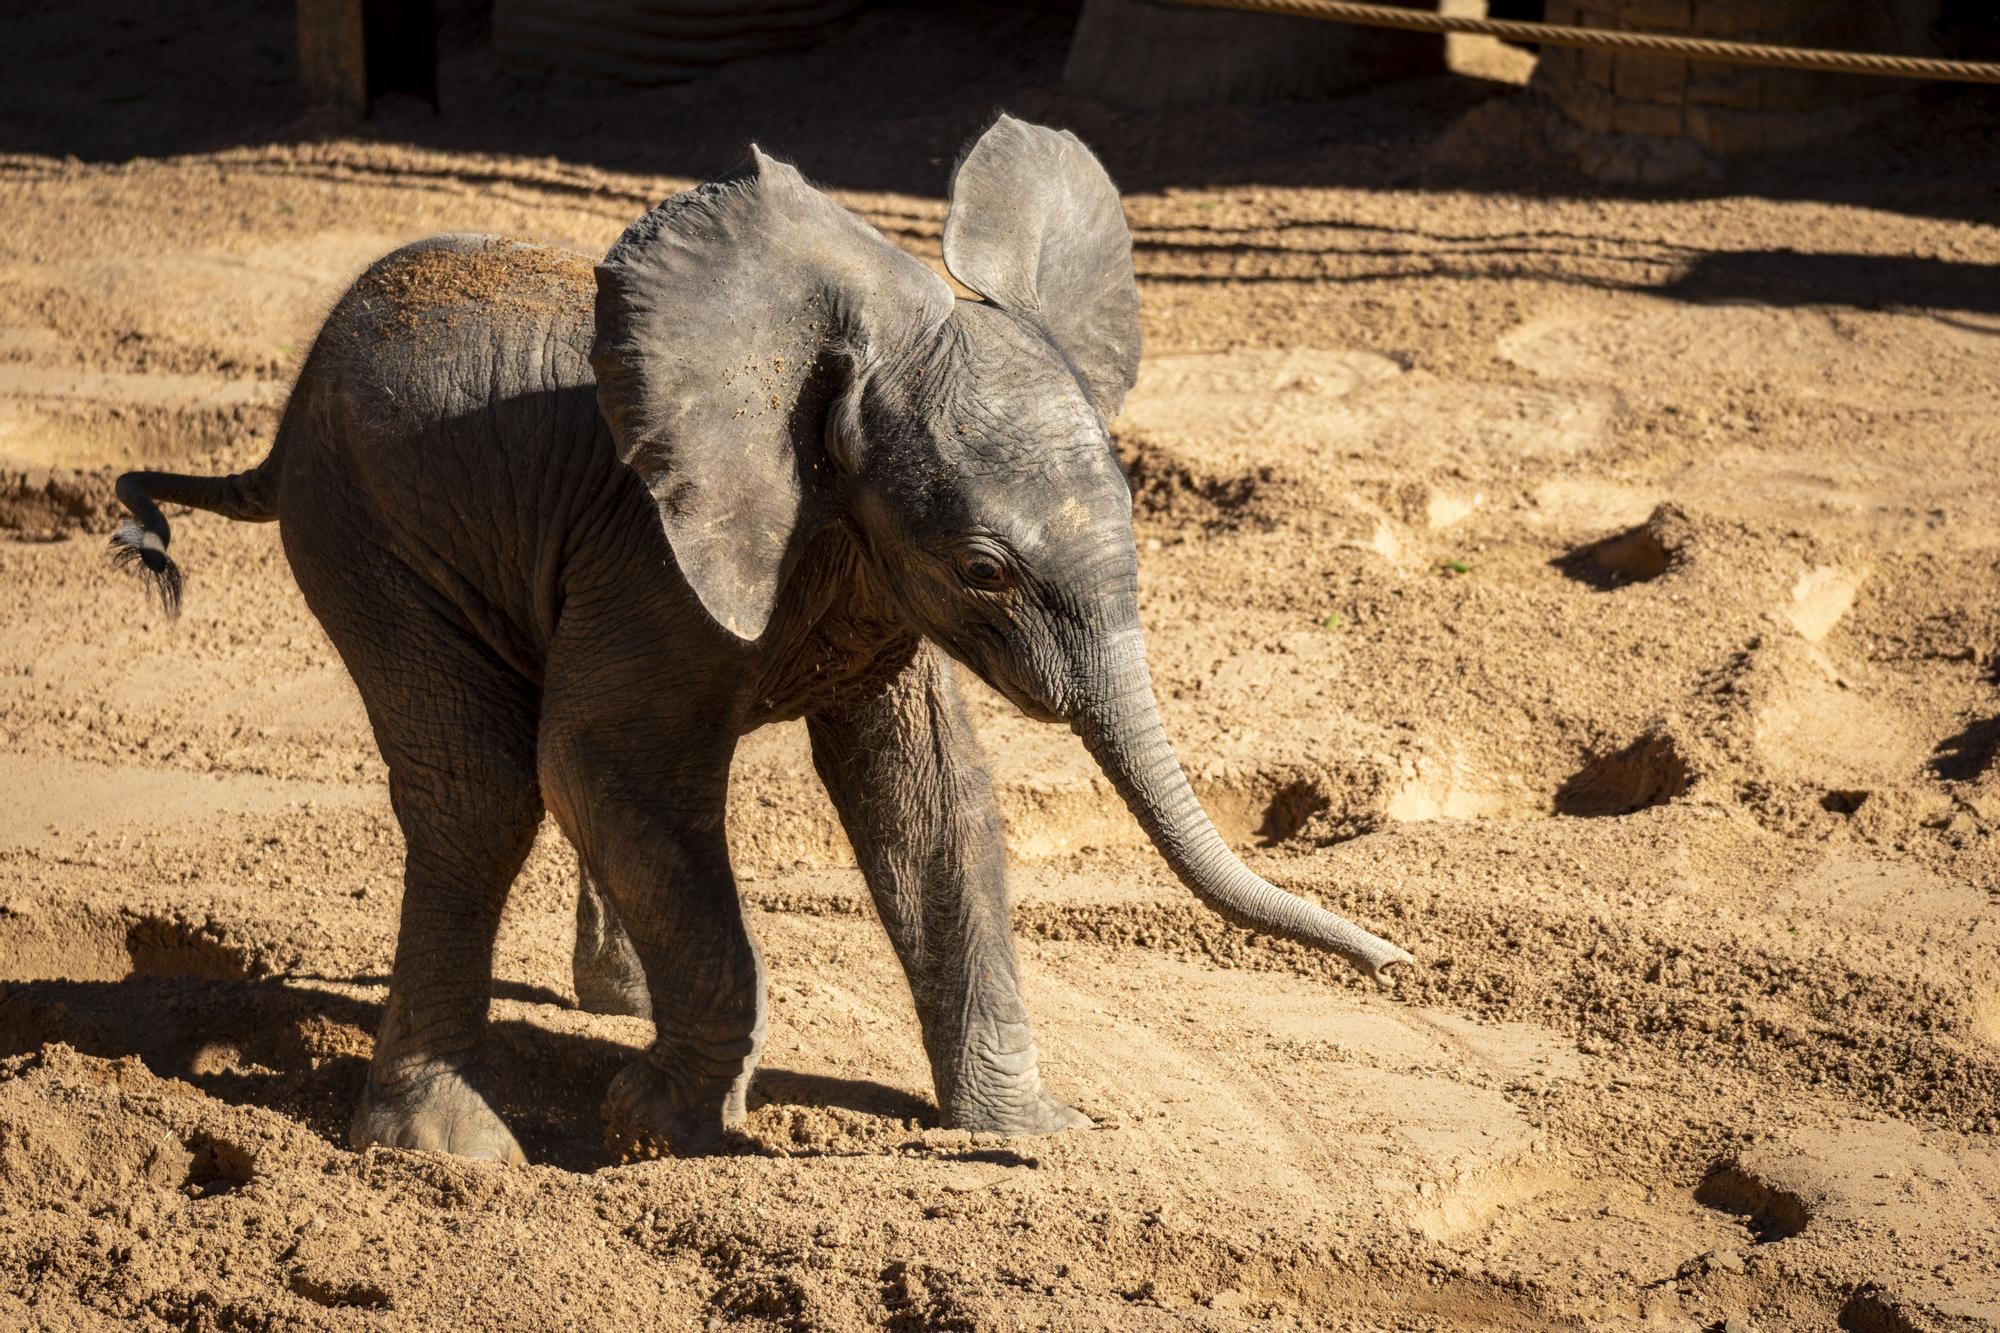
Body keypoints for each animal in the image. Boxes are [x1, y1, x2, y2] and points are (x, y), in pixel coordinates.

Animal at [109, 116, 1416, 1152]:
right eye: (983, 570)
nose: (1401, 964)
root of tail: (285, 413)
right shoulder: (651, 552)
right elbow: (601, 766)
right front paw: (658, 1128)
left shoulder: (859, 576)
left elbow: (932, 800)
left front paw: (1029, 1134)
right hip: (369, 538)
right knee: (483, 792)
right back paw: (449, 1149)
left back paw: (611, 1006)